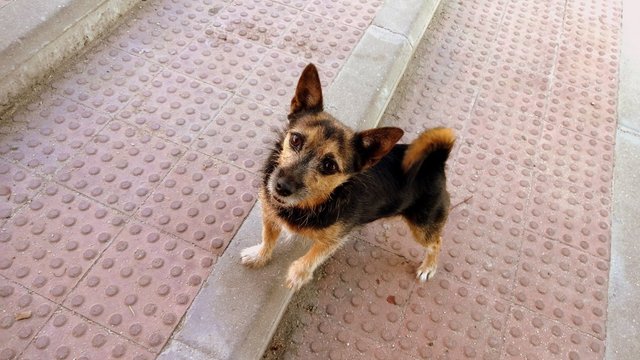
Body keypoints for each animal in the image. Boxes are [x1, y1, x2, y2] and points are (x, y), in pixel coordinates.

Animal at [240, 63, 456, 292]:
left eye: (329, 166)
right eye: (296, 139)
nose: (281, 187)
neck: (316, 201)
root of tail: (435, 161)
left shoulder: (335, 239)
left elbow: (314, 256)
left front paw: (298, 275)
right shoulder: (270, 213)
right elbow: (268, 237)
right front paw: (259, 256)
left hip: (423, 226)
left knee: (437, 242)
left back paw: (428, 267)